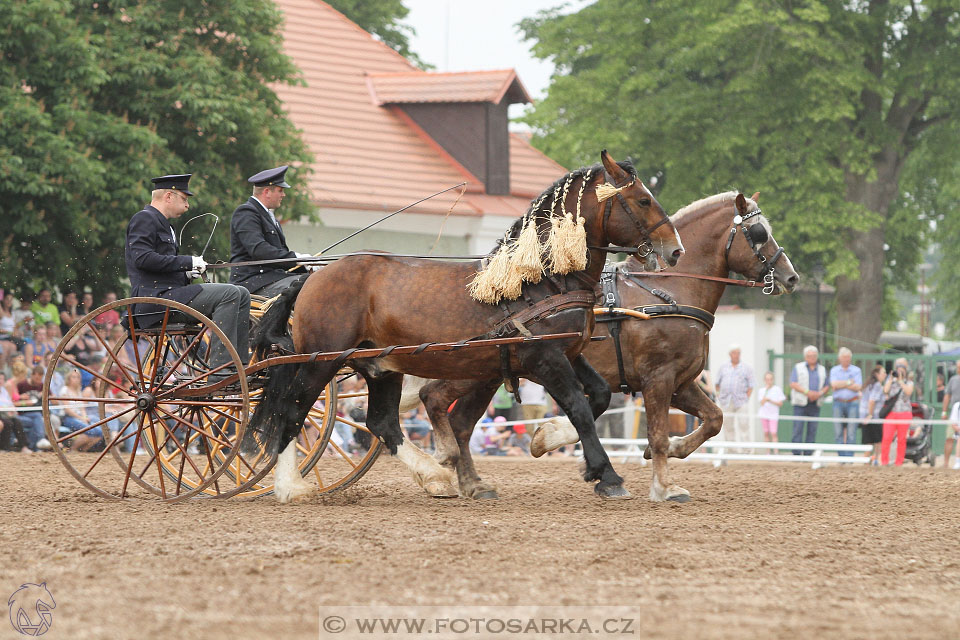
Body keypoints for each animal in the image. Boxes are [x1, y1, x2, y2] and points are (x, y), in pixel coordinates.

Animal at [244, 152, 688, 502]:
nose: (675, 251)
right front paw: (606, 475)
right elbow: (579, 407)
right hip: (320, 361)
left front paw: (547, 440)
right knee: (292, 411)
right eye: (643, 199)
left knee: (382, 423)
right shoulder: (545, 358)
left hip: (380, 366)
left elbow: (598, 396)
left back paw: (435, 476)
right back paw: (290, 486)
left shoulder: (568, 352)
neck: (542, 281)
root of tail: (311, 277)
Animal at [416, 192, 800, 502]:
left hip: (491, 375)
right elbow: (657, 434)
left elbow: (714, 419)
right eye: (760, 233)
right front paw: (663, 486)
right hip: (472, 370)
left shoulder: (680, 383)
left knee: (461, 423)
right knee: (434, 399)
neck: (667, 291)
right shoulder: (658, 378)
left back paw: (472, 483)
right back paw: (443, 466)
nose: (791, 276)